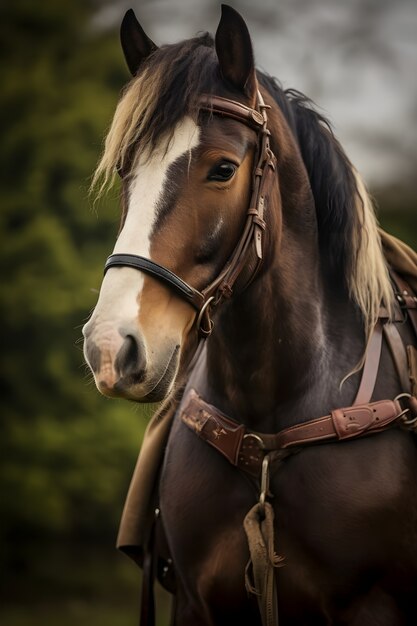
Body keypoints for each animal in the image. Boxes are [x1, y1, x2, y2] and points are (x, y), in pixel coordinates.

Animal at [83, 6, 416, 624]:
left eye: (222, 169)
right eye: (124, 171)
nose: (111, 348)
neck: (270, 427)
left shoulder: (372, 606)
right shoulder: (197, 604)